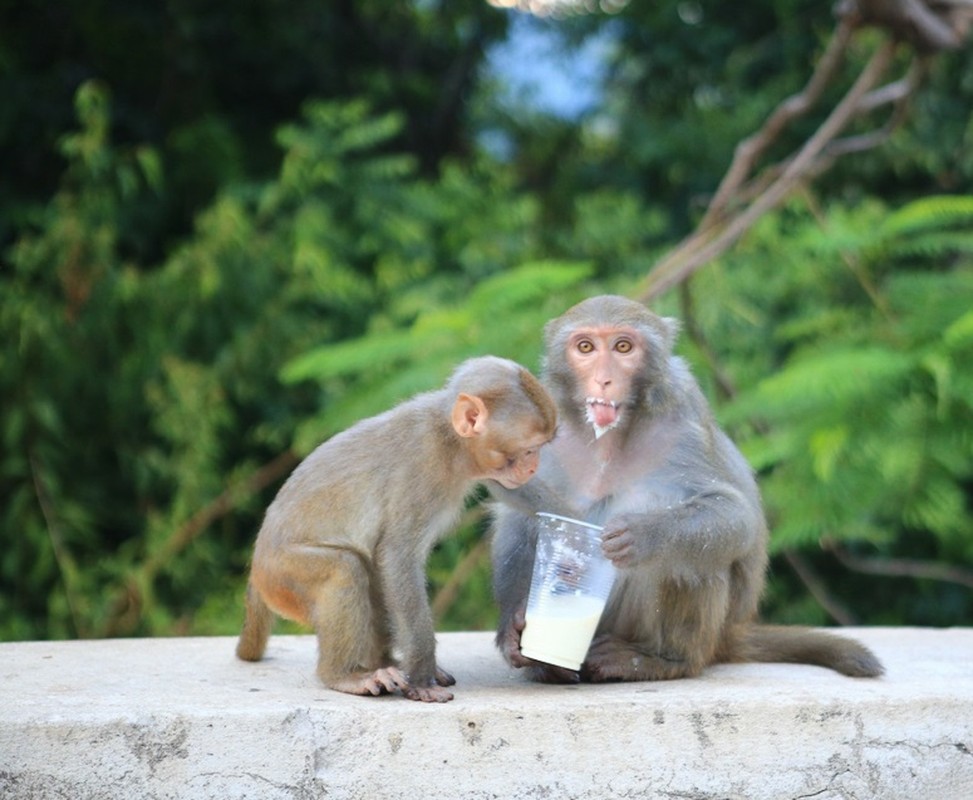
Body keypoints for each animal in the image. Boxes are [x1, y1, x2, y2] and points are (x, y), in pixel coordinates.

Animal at [235, 356, 556, 700]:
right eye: (528, 449)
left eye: (539, 449)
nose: (534, 467)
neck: (450, 442)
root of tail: (257, 566)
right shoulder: (421, 469)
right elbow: (397, 556)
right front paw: (422, 680)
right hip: (283, 576)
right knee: (345, 568)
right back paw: (343, 675)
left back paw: (383, 661)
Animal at [490, 294, 884, 680]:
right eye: (585, 347)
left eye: (623, 347)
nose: (603, 380)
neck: (609, 440)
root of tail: (727, 635)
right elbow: (522, 516)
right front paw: (514, 627)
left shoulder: (683, 416)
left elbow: (735, 515)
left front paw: (644, 534)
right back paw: (550, 666)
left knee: (690, 559)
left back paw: (661, 660)